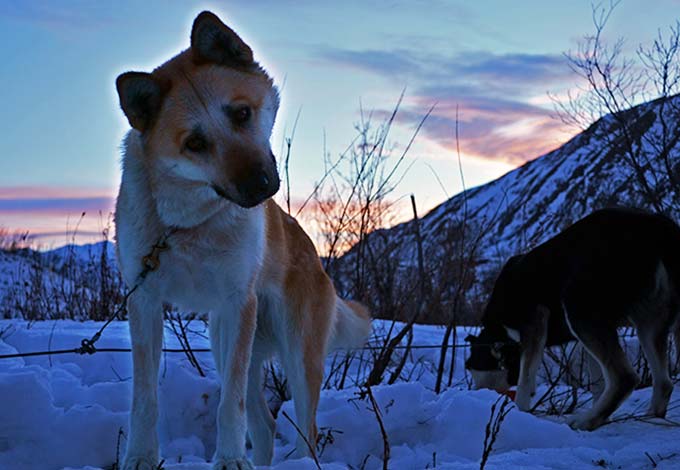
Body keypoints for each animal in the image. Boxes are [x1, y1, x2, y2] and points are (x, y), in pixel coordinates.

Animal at [116, 11, 372, 470]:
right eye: (194, 143)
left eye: (241, 113)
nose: (259, 185)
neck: (187, 225)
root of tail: (315, 258)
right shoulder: (144, 300)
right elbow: (144, 398)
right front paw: (142, 457)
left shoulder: (239, 303)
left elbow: (228, 405)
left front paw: (231, 459)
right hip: (226, 341)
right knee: (266, 425)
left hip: (297, 354)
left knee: (306, 428)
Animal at [464, 209, 680, 430]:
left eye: (474, 368)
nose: (476, 393)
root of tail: (660, 228)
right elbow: (598, 383)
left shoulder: (535, 322)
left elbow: (525, 382)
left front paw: (519, 414)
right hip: (650, 323)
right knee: (663, 382)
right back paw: (649, 418)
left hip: (578, 306)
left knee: (625, 377)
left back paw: (585, 421)